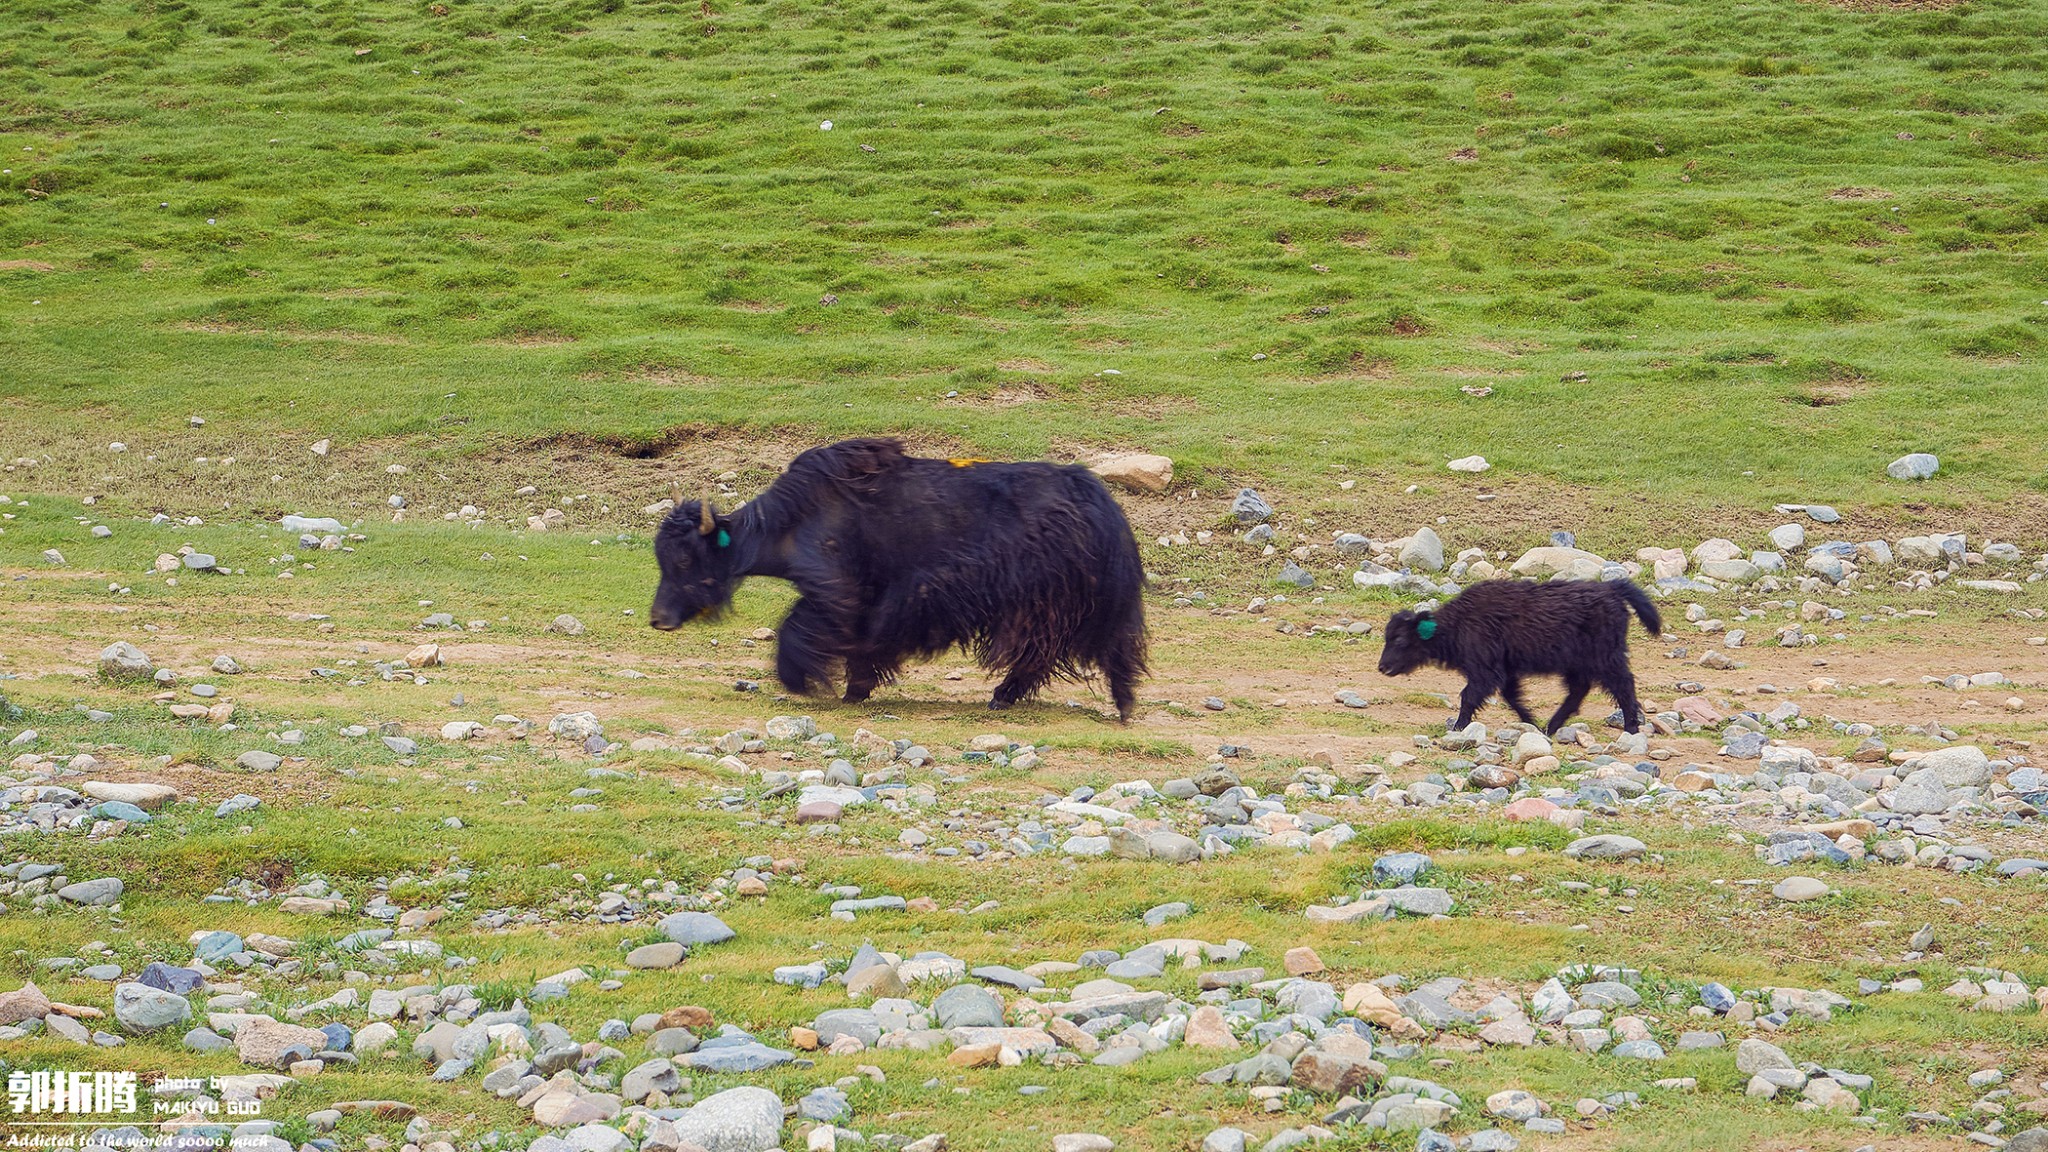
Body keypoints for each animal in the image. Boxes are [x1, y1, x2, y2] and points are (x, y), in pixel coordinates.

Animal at [1376, 578, 1662, 729]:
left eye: (1399, 639)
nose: (1382, 667)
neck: (1458, 623)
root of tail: (1613, 589)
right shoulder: (1505, 671)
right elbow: (1511, 697)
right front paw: (1531, 723)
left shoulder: (1485, 671)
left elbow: (1469, 697)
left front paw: (1458, 728)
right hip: (1577, 664)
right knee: (1580, 690)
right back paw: (1550, 728)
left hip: (1605, 657)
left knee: (1623, 684)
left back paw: (1631, 727)